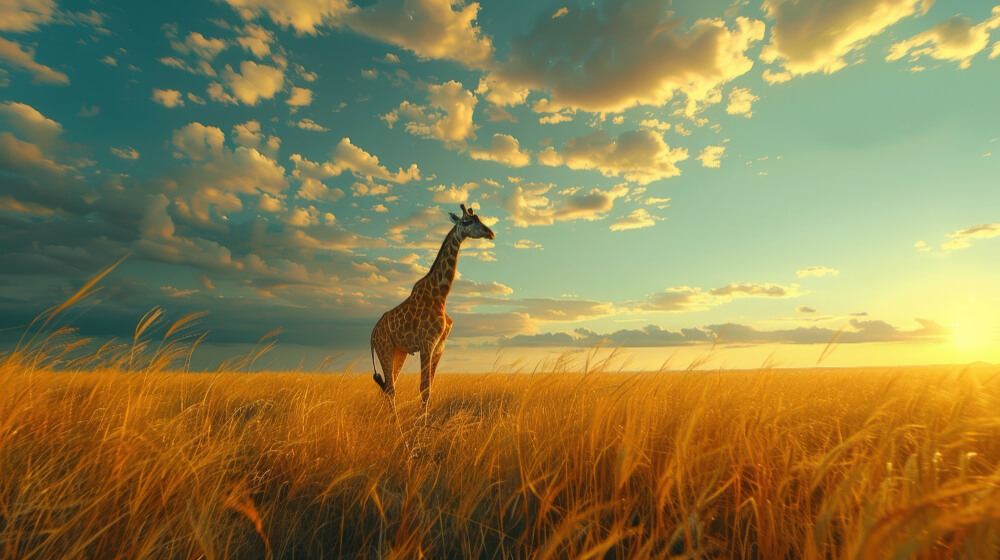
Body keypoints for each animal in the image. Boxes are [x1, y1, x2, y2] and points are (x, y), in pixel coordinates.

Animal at [370, 203, 496, 412]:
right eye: (467, 221)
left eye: (479, 218)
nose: (490, 233)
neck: (441, 293)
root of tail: (372, 334)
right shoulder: (427, 343)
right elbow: (423, 389)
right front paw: (423, 421)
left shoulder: (439, 346)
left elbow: (430, 387)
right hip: (385, 348)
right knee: (390, 388)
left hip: (398, 351)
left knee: (389, 386)